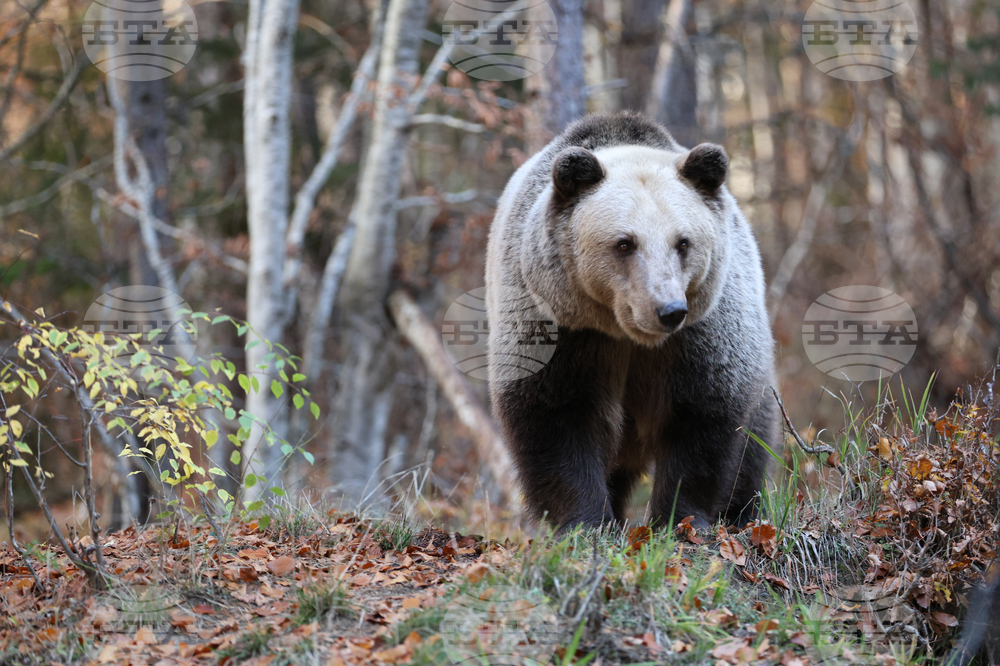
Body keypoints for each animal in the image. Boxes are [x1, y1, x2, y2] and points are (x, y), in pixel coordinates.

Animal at [485, 111, 780, 531]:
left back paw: (740, 514)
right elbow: (555, 414)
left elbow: (703, 415)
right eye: (624, 243)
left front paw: (679, 520)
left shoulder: (702, 332)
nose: (668, 310)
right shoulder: (558, 325)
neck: (627, 334)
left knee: (752, 448)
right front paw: (587, 523)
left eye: (683, 242)